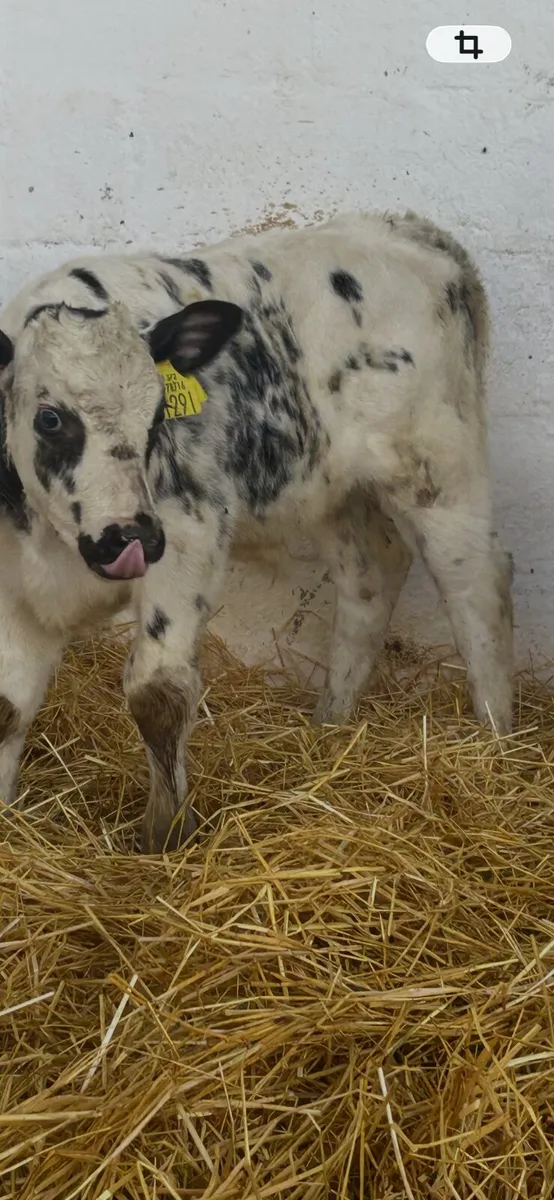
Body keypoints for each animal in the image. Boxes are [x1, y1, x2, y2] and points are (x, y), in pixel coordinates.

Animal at [0, 210, 513, 853]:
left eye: (159, 416)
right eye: (50, 418)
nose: (130, 537)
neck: (50, 541)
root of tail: (410, 229)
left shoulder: (188, 532)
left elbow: (157, 690)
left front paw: (165, 836)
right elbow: (8, 705)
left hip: (439, 467)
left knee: (477, 586)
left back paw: (498, 744)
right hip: (334, 490)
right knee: (372, 575)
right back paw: (329, 731)